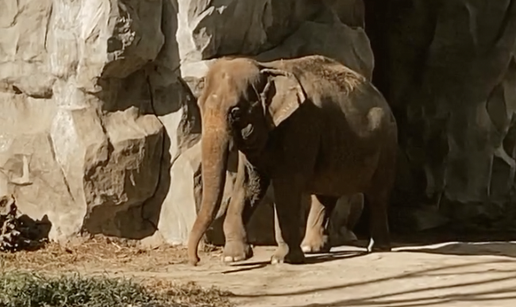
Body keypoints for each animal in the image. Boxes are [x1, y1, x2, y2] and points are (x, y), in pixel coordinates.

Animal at [187, 54, 398, 266]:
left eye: (236, 112)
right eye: (200, 106)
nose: (196, 260)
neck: (265, 67)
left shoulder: (299, 126)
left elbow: (286, 186)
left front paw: (282, 260)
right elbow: (249, 185)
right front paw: (233, 258)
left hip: (386, 144)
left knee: (377, 195)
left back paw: (378, 248)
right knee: (326, 194)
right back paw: (311, 248)